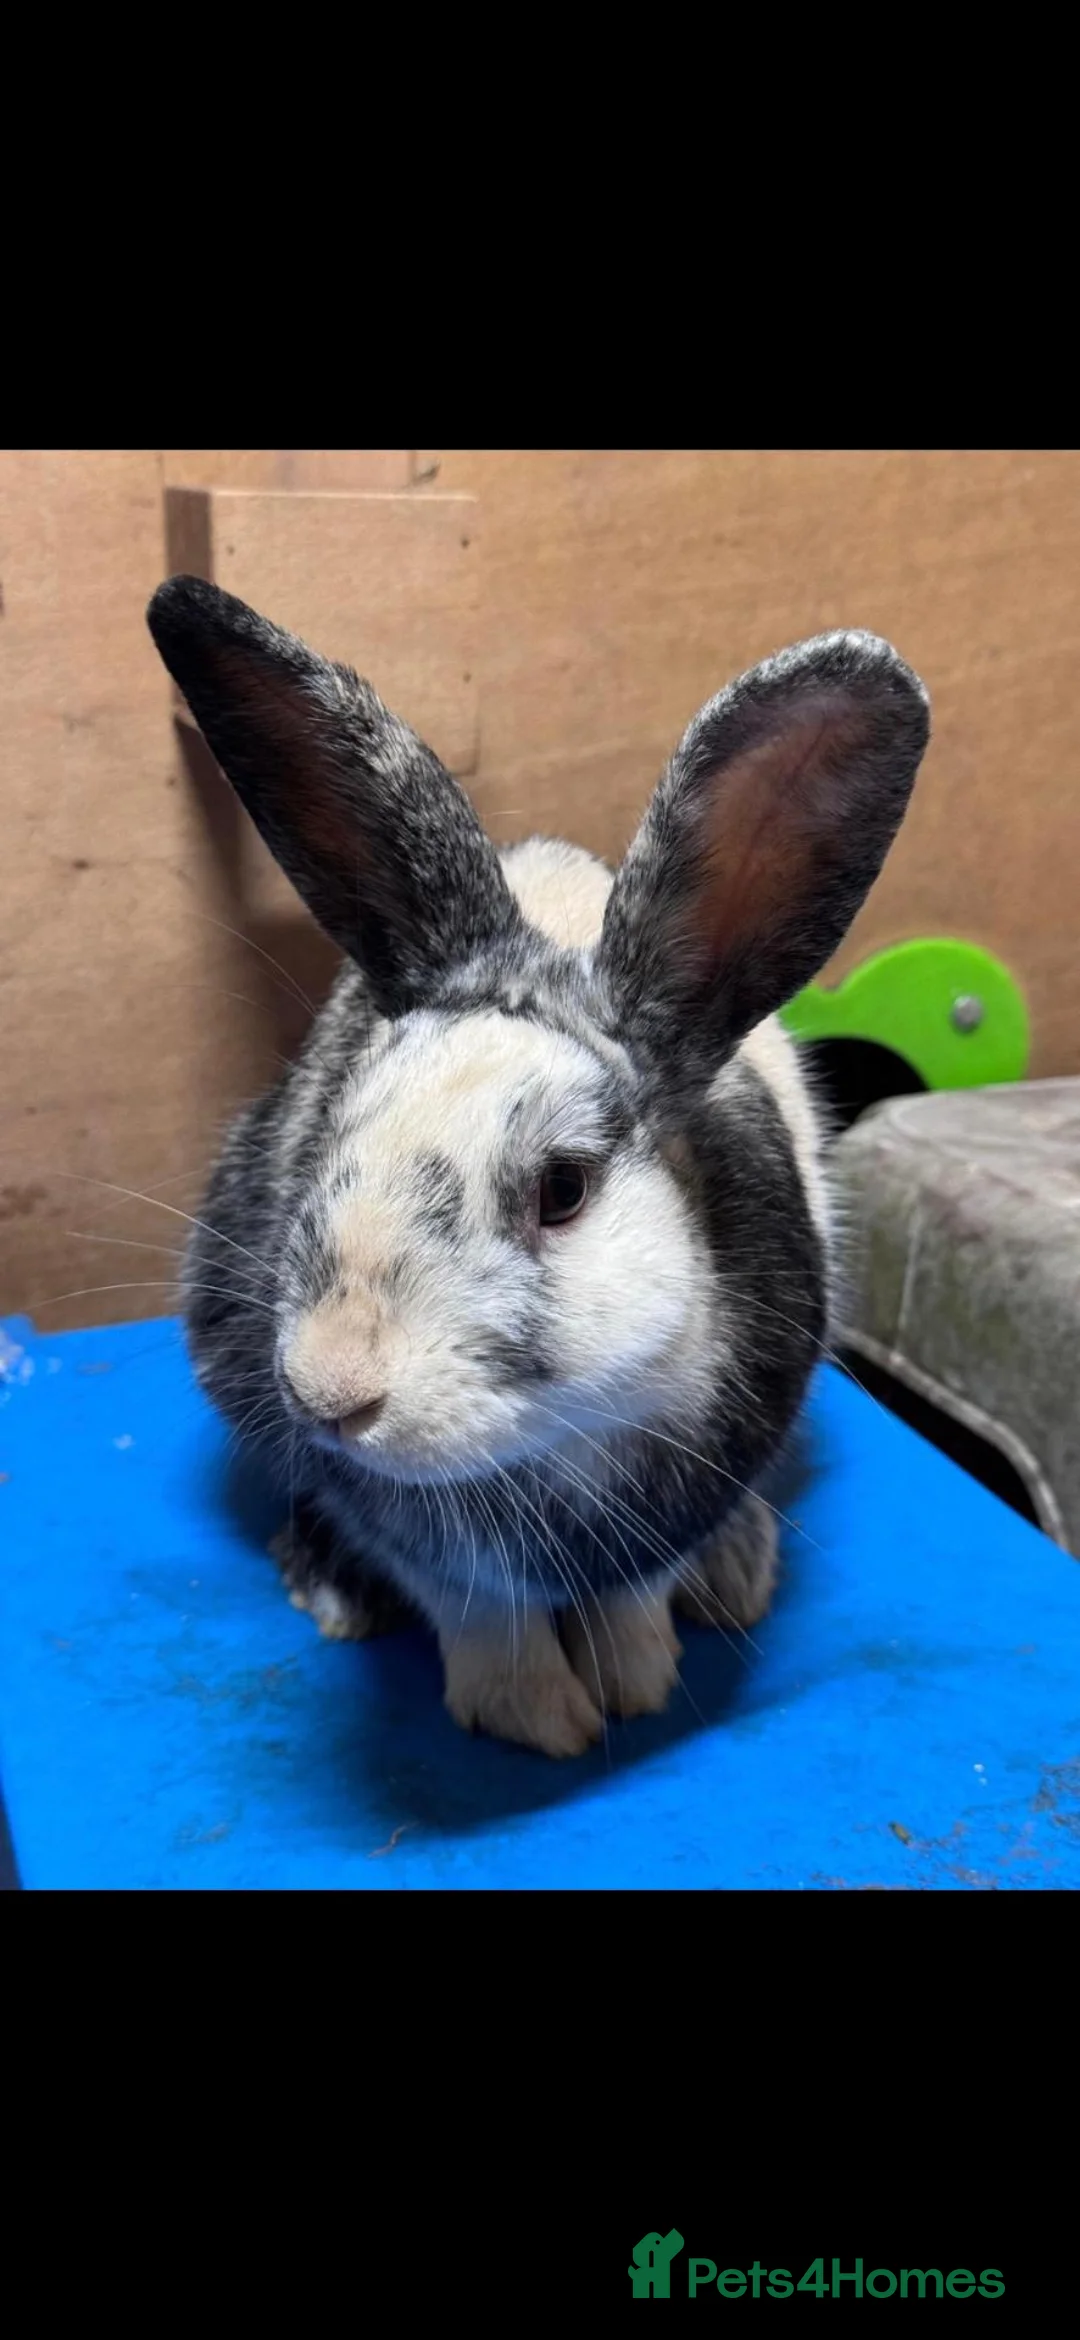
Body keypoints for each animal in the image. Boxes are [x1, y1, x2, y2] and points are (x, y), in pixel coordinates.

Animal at [147, 577, 929, 1757]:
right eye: (338, 1132)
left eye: (562, 1189)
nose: (330, 1392)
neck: (556, 1449)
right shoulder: (429, 1547)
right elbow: (478, 1614)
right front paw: (537, 1720)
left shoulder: (671, 1507)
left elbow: (633, 1599)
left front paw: (636, 1682)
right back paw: (334, 1589)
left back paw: (736, 1571)